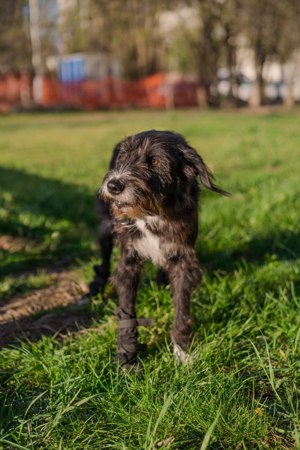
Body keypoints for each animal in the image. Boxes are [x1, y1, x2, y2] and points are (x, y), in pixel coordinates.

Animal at [88, 128, 229, 368]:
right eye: (123, 156)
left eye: (154, 161)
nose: (113, 185)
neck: (152, 212)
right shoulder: (129, 261)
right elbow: (127, 311)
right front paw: (127, 355)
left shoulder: (183, 259)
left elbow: (181, 309)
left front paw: (182, 352)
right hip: (107, 226)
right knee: (104, 260)